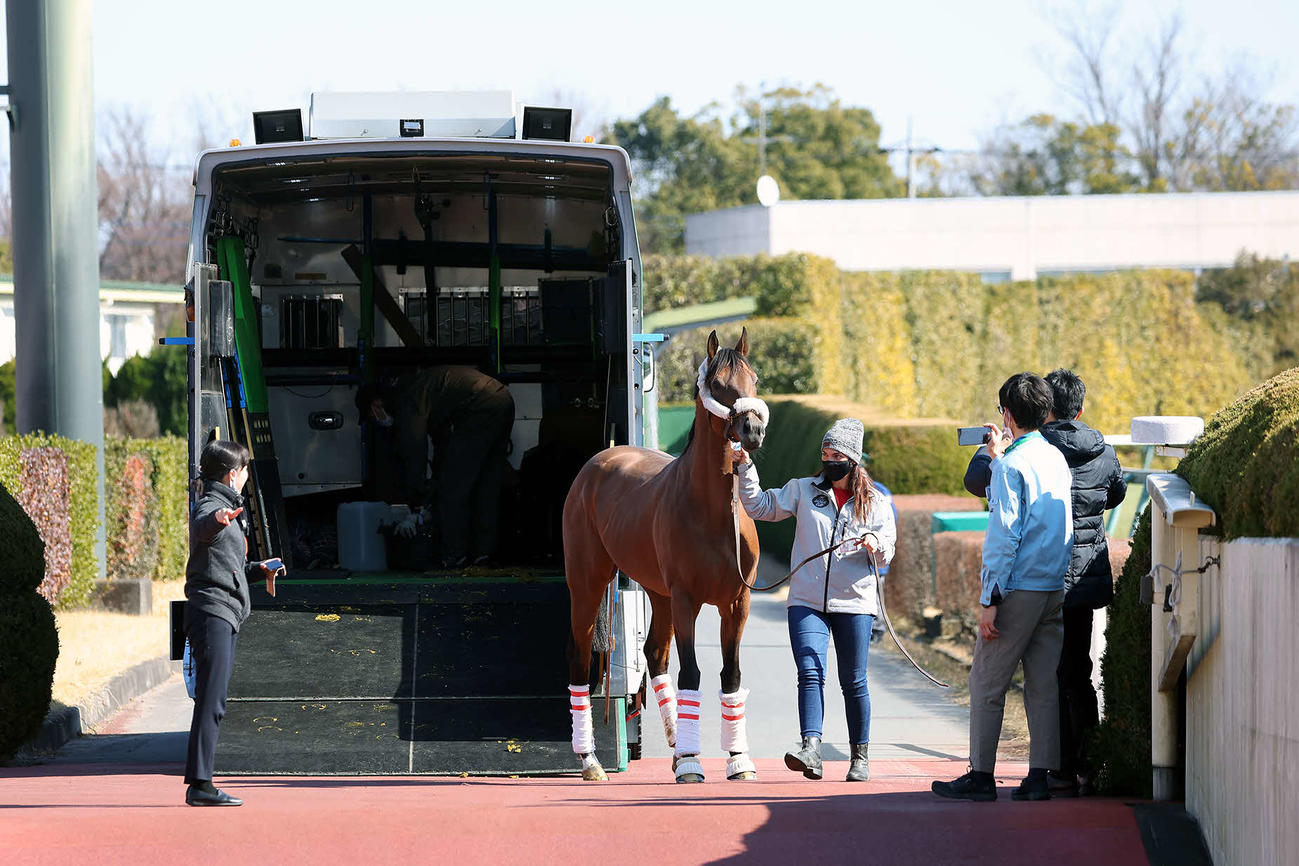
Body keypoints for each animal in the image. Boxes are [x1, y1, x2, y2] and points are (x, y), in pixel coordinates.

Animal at [563, 328, 769, 782]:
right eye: (717, 383)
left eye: (754, 378)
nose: (752, 429)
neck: (713, 511)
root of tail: (599, 460)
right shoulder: (688, 600)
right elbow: (691, 671)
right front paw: (693, 764)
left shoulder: (737, 603)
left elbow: (731, 675)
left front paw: (738, 760)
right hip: (588, 584)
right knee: (580, 656)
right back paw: (591, 761)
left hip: (659, 594)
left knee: (654, 655)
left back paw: (677, 749)